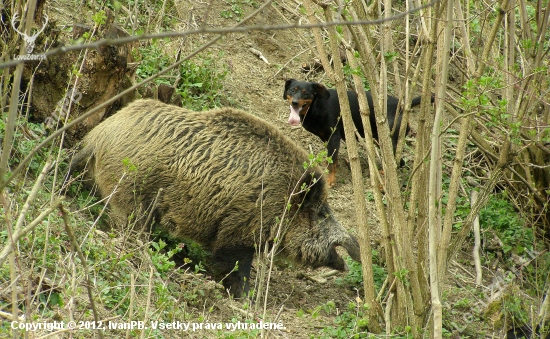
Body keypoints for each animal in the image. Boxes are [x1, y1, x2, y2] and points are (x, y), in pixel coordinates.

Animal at [284, 78, 426, 187]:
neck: (316, 106)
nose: (295, 102)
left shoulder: (333, 137)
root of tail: (401, 107)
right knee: (400, 162)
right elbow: (331, 159)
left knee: (396, 163)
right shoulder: (326, 138)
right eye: (292, 90)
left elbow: (331, 163)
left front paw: (330, 180)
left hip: (389, 140)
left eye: (306, 93)